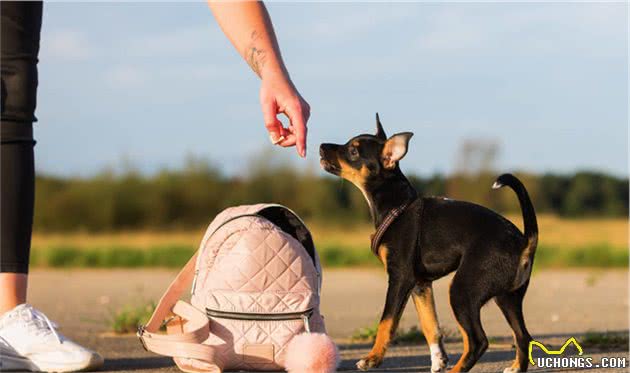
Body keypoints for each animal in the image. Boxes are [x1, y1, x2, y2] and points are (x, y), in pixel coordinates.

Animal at [320, 114, 540, 372]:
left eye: (353, 151)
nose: (321, 146)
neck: (396, 206)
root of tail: (524, 242)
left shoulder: (400, 278)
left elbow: (386, 322)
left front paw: (373, 358)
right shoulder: (420, 284)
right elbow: (430, 326)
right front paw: (438, 361)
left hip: (462, 290)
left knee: (478, 341)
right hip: (508, 298)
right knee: (522, 336)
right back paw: (515, 367)